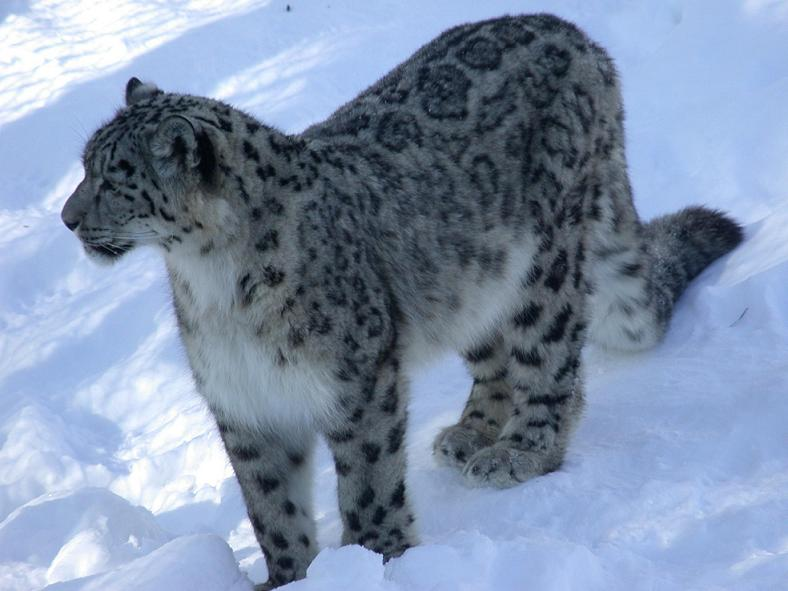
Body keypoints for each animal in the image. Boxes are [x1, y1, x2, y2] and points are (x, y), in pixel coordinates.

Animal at [63, 13, 744, 591]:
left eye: (114, 178)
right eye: (84, 164)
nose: (67, 219)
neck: (210, 283)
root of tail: (577, 35)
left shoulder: (356, 377)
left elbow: (367, 476)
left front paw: (377, 554)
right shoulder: (241, 398)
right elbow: (270, 503)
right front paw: (287, 577)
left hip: (545, 262)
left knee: (552, 362)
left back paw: (519, 451)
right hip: (469, 278)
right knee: (496, 357)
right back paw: (470, 432)